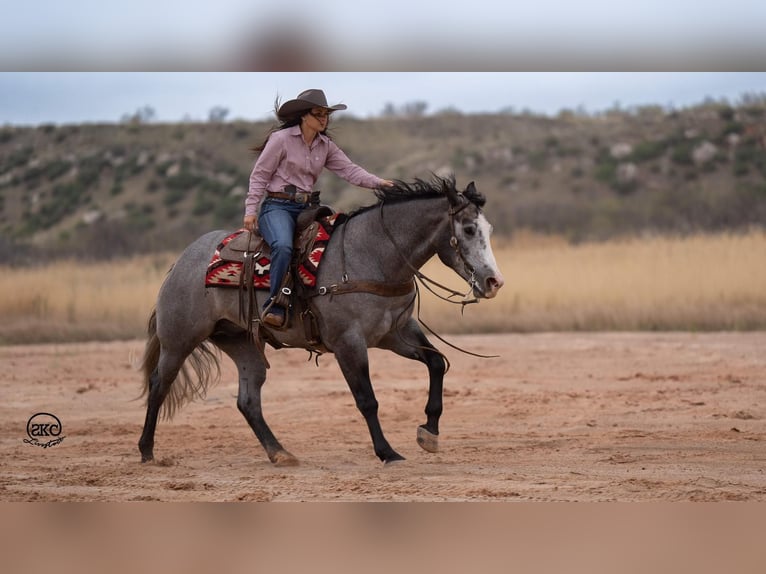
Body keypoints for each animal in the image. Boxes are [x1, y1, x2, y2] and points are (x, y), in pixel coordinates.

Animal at [140, 177, 504, 468]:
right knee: (159, 385)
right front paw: (387, 452)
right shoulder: (348, 342)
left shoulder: (396, 333)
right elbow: (367, 399)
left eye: (488, 229)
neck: (371, 254)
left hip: (242, 345)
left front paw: (429, 432)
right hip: (179, 340)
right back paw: (146, 451)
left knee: (248, 401)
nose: (493, 282)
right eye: (468, 229)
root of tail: (180, 261)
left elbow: (436, 363)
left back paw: (280, 453)